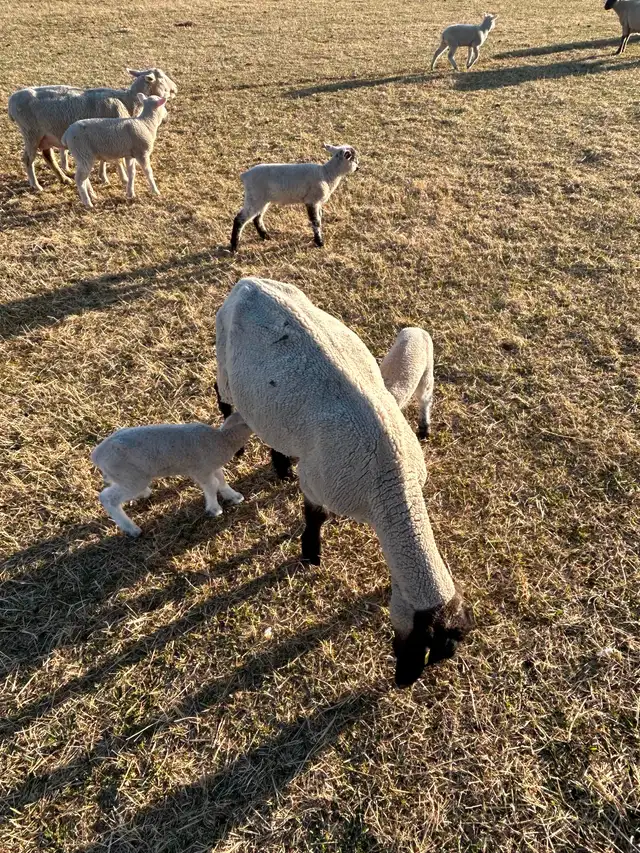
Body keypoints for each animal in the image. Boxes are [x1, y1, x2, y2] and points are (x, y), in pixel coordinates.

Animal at [8, 68, 177, 191]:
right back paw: (36, 185)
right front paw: (123, 178)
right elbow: (117, 160)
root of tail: (12, 100)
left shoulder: (105, 136)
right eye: (161, 77)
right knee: (28, 159)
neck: (127, 100)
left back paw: (64, 179)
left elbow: (104, 159)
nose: (175, 89)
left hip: (43, 135)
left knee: (47, 156)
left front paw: (103, 177)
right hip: (31, 133)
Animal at [91, 412, 252, 537]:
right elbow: (212, 485)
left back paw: (143, 494)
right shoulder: (201, 469)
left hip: (123, 476)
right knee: (107, 497)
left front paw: (234, 496)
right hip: (132, 478)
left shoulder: (212, 467)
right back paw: (132, 529)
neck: (223, 439)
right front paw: (214, 510)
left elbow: (221, 480)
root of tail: (97, 455)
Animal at [215, 277, 474, 687]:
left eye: (435, 652)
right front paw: (310, 555)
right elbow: (314, 517)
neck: (391, 484)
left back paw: (280, 464)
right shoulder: (318, 482)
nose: (402, 682)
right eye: (422, 642)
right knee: (222, 395)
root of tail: (249, 282)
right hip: (223, 359)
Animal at [229, 144, 359, 252]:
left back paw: (265, 236)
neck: (327, 174)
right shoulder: (312, 201)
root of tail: (245, 175)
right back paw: (234, 247)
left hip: (262, 200)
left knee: (257, 217)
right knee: (240, 219)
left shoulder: (318, 203)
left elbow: (319, 219)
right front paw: (319, 243)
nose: (358, 168)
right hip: (255, 197)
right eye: (353, 158)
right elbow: (316, 222)